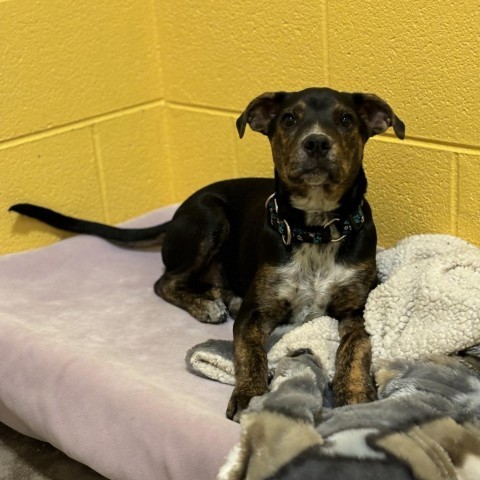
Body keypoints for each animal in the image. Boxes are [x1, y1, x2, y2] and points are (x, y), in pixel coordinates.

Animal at [9, 88, 404, 422]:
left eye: (346, 119)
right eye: (290, 118)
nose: (317, 142)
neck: (316, 229)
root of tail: (179, 211)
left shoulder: (356, 308)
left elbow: (354, 349)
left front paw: (355, 394)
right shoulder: (255, 313)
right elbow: (250, 352)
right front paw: (249, 395)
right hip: (211, 219)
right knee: (164, 281)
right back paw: (205, 305)